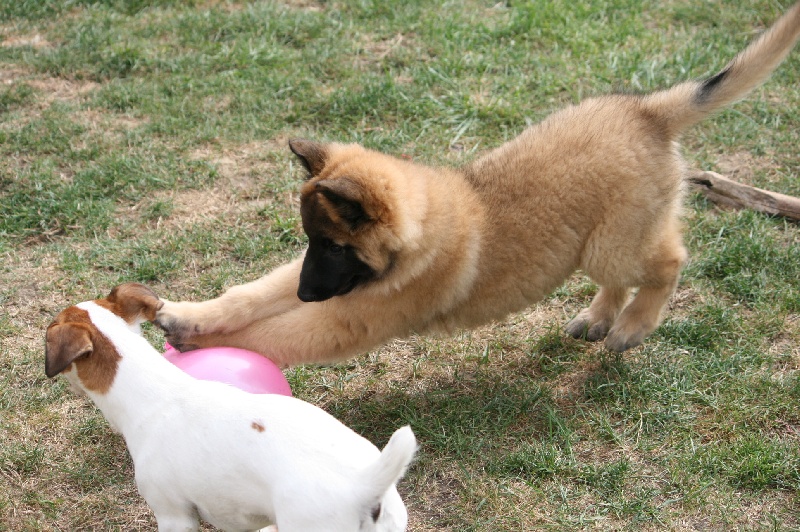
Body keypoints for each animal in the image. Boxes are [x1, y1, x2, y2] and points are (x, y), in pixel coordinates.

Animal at [155, 3, 800, 364]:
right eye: (314, 244)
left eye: (337, 246)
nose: (310, 293)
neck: (427, 226)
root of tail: (648, 111)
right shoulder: (326, 286)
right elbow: (250, 294)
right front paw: (187, 315)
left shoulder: (345, 319)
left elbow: (265, 336)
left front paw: (193, 349)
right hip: (602, 239)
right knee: (627, 274)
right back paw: (598, 318)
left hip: (613, 240)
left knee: (668, 262)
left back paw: (632, 327)